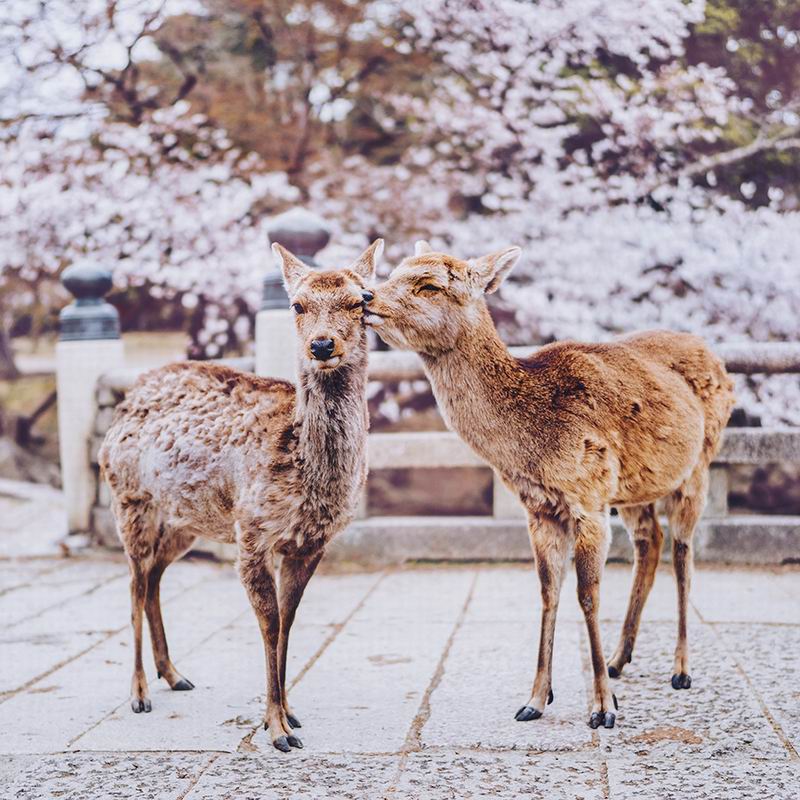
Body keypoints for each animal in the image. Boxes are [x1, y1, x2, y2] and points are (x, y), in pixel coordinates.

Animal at [98, 239, 382, 752]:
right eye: (297, 304)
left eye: (362, 300)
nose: (322, 345)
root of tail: (128, 398)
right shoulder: (252, 531)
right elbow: (268, 623)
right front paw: (276, 729)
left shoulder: (311, 542)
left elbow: (289, 620)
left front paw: (291, 713)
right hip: (129, 501)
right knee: (133, 584)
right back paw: (140, 692)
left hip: (185, 521)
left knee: (154, 578)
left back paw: (175, 674)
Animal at [366, 244, 736, 732]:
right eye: (392, 272)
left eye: (430, 284)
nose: (365, 296)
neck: (532, 443)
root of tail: (718, 359)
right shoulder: (540, 507)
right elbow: (547, 591)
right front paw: (536, 699)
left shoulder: (589, 496)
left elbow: (587, 595)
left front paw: (603, 708)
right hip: (634, 487)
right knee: (650, 542)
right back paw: (619, 659)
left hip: (698, 467)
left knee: (683, 553)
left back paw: (681, 669)